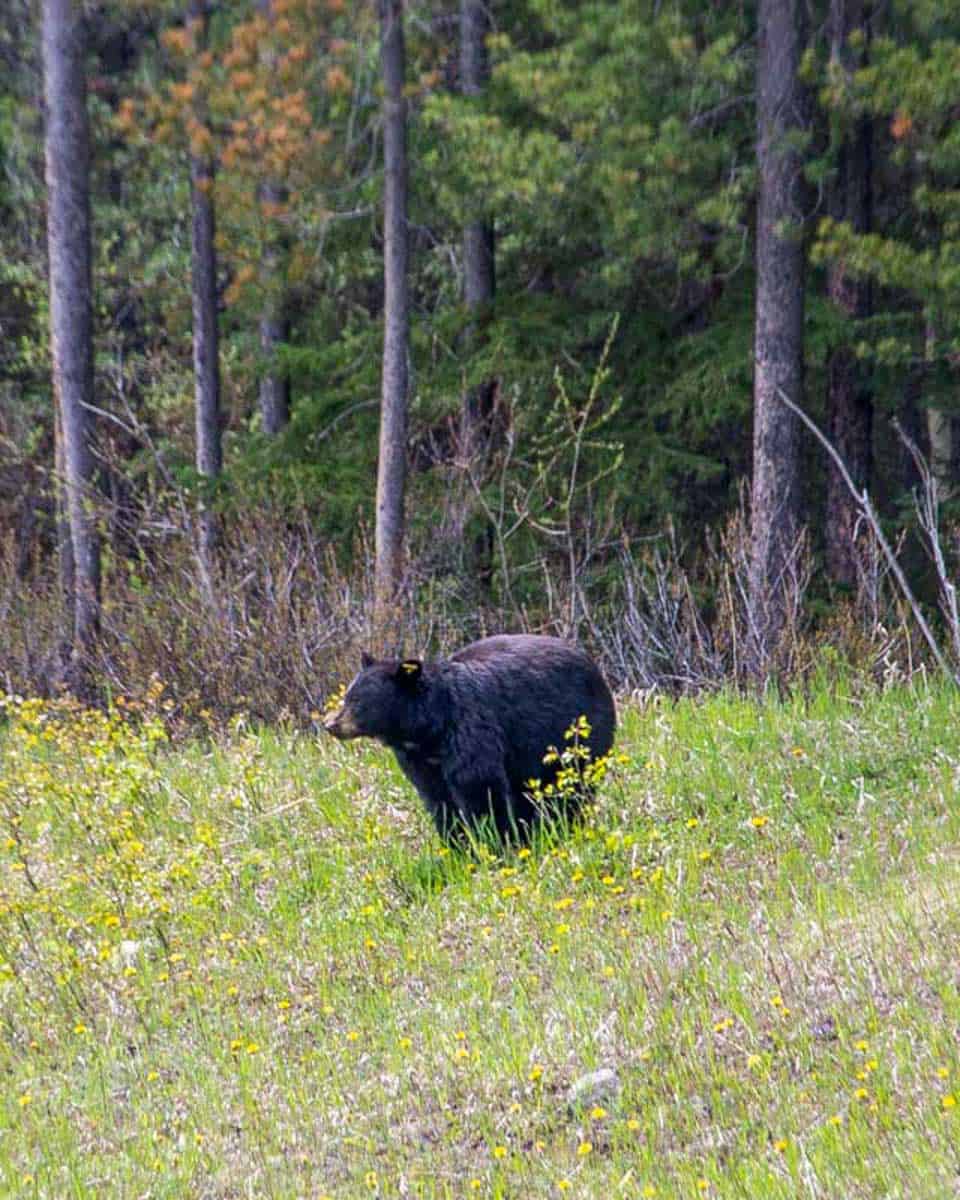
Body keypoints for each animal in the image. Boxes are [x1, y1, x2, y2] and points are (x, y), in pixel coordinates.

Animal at [323, 634, 616, 845]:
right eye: (347, 696)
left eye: (357, 701)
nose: (330, 724)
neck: (429, 729)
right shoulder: (419, 760)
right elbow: (438, 798)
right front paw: (458, 844)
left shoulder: (470, 728)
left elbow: (478, 784)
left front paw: (494, 841)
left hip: (577, 733)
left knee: (572, 787)